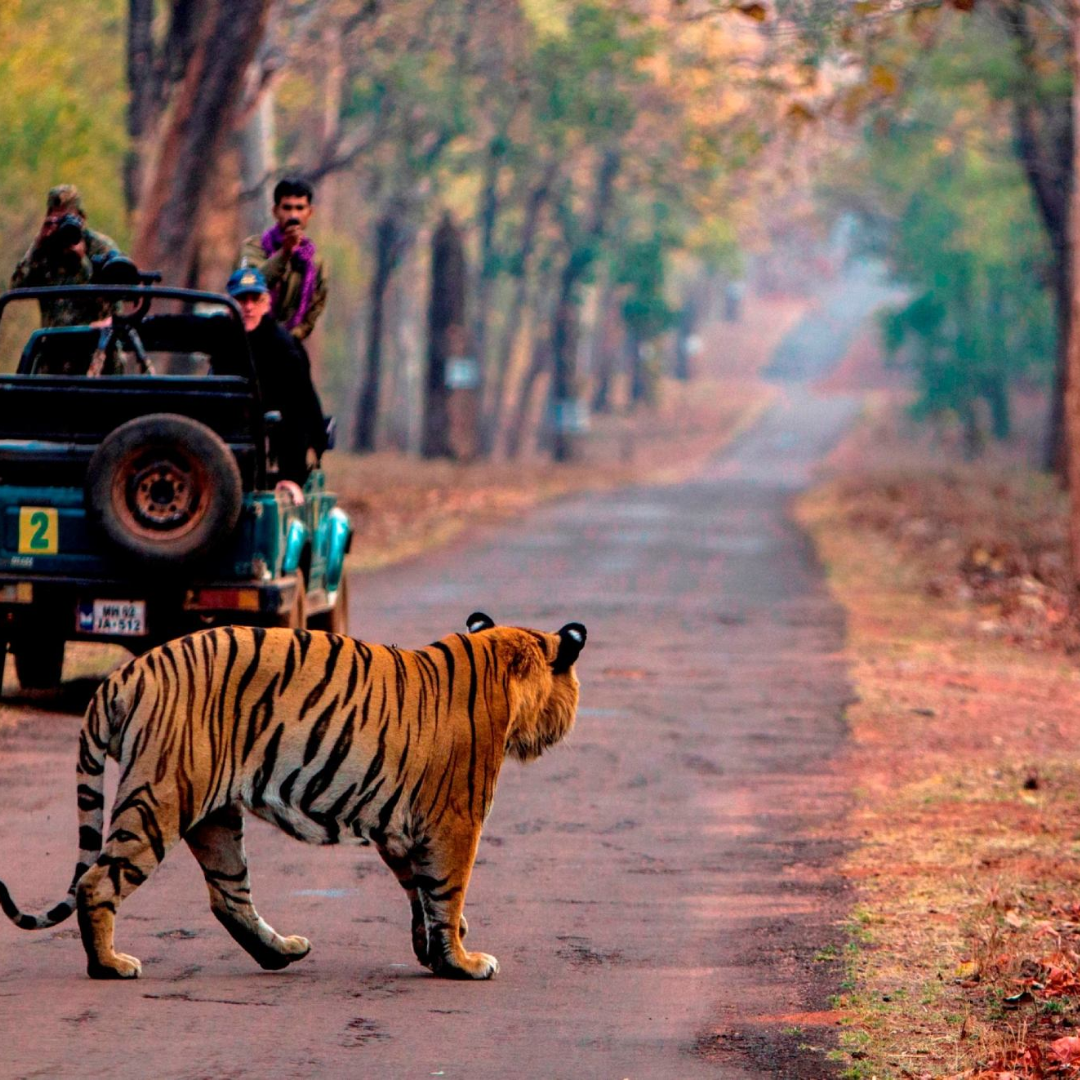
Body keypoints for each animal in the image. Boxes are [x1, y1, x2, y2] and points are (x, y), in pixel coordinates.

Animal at [0, 613, 583, 984]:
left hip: (215, 816)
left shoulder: (401, 831)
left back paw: (281, 952)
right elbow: (446, 891)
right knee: (99, 881)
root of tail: (125, 673)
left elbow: (420, 893)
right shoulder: (455, 822)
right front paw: (462, 961)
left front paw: (437, 950)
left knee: (228, 895)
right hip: (160, 797)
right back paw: (110, 966)